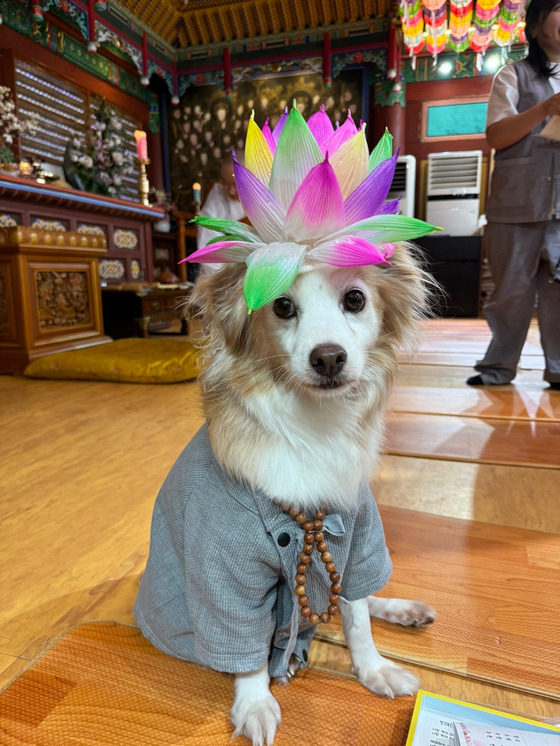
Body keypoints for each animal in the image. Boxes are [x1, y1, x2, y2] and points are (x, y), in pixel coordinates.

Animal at [135, 247, 438, 744]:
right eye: (281, 306)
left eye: (355, 299)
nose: (329, 358)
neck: (313, 424)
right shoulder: (227, 575)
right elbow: (245, 645)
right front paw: (254, 703)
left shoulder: (356, 541)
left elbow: (357, 618)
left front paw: (373, 669)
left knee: (360, 598)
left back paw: (401, 608)